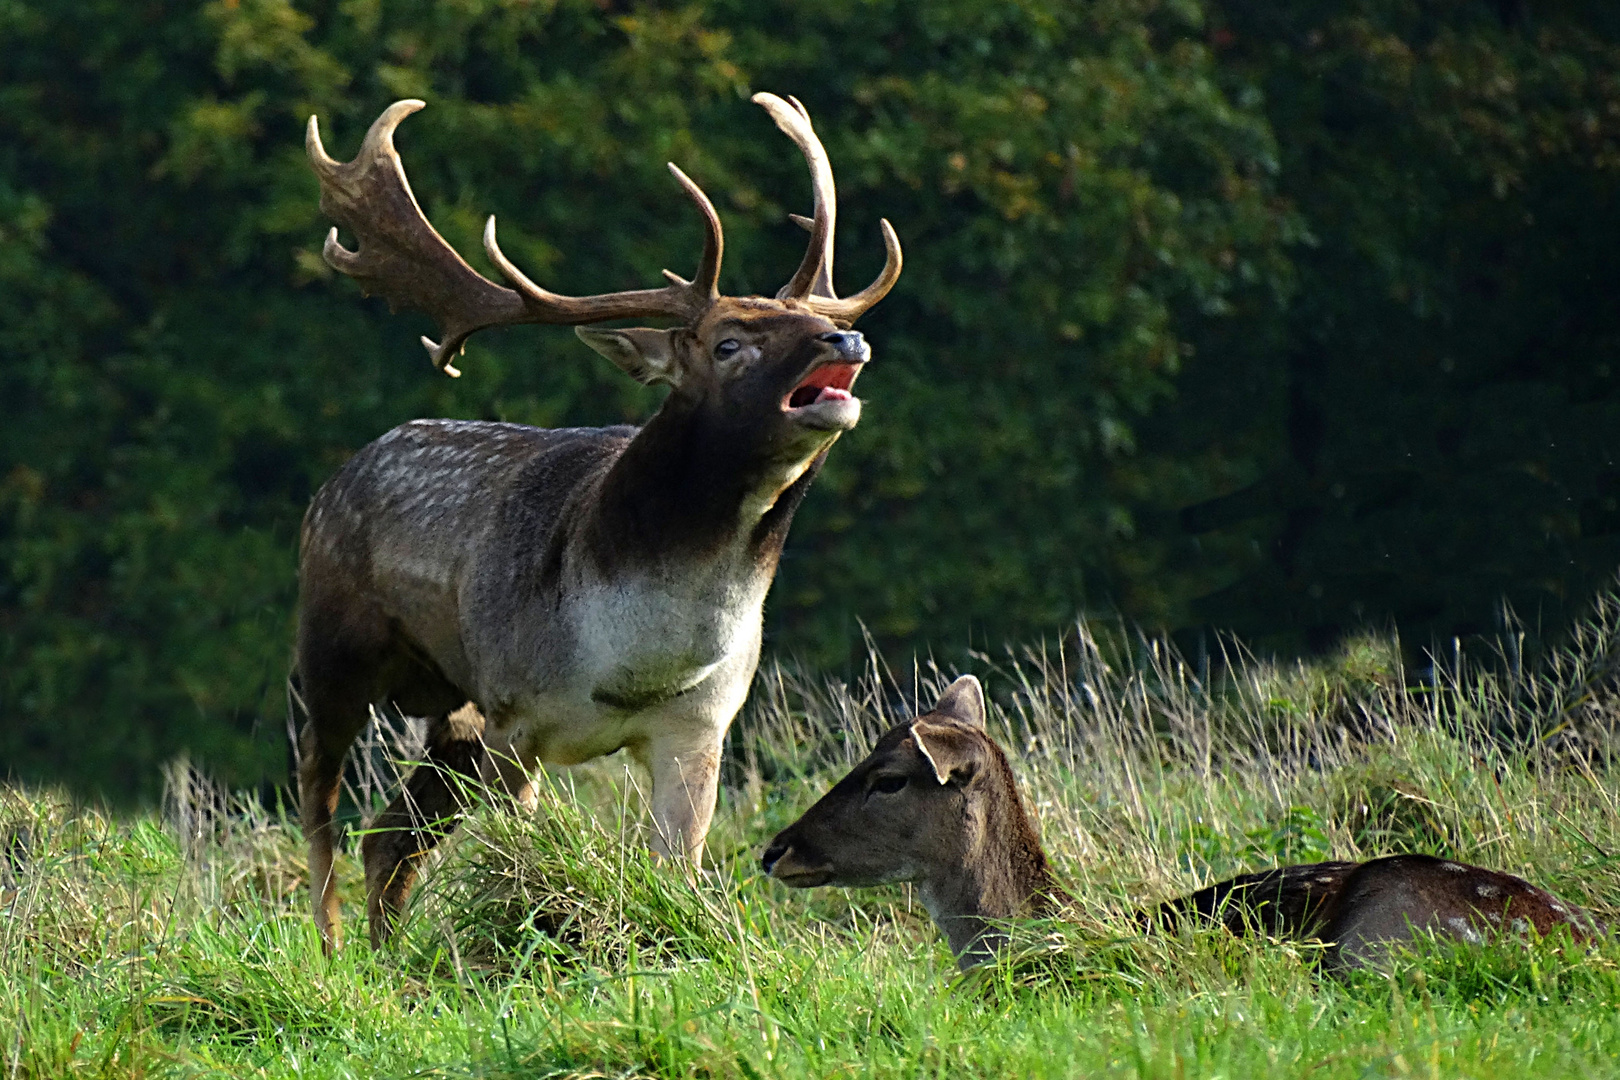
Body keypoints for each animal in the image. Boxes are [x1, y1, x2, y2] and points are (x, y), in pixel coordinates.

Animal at [299, 95, 907, 952]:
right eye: (728, 342)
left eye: (805, 314)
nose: (843, 335)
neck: (634, 657)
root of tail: (333, 481)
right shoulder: (517, 715)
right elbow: (522, 855)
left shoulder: (700, 725)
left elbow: (675, 869)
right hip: (332, 651)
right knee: (321, 803)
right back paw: (329, 947)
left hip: (453, 708)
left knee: (391, 835)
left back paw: (386, 956)